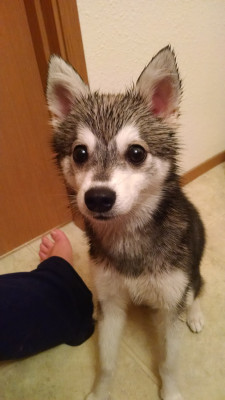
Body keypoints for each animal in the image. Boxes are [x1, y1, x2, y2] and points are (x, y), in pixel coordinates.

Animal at [46, 47, 205, 400]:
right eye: (80, 153)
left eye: (136, 152)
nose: (98, 198)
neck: (129, 235)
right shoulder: (112, 302)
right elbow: (106, 363)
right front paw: (99, 393)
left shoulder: (171, 303)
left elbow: (168, 362)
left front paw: (170, 392)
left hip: (192, 265)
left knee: (196, 288)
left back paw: (196, 313)